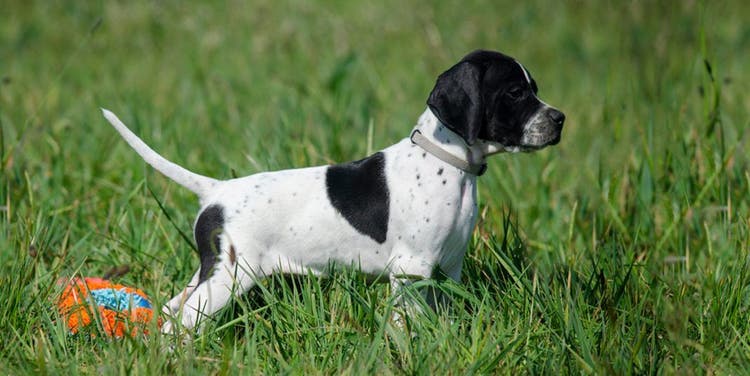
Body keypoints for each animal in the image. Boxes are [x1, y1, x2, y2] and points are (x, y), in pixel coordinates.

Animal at [103, 50, 568, 332]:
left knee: (170, 309)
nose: (560, 119)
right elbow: (404, 324)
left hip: (210, 272)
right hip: (230, 277)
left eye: (536, 89)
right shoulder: (411, 270)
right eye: (515, 92)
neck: (446, 161)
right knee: (175, 324)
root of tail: (216, 191)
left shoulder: (447, 270)